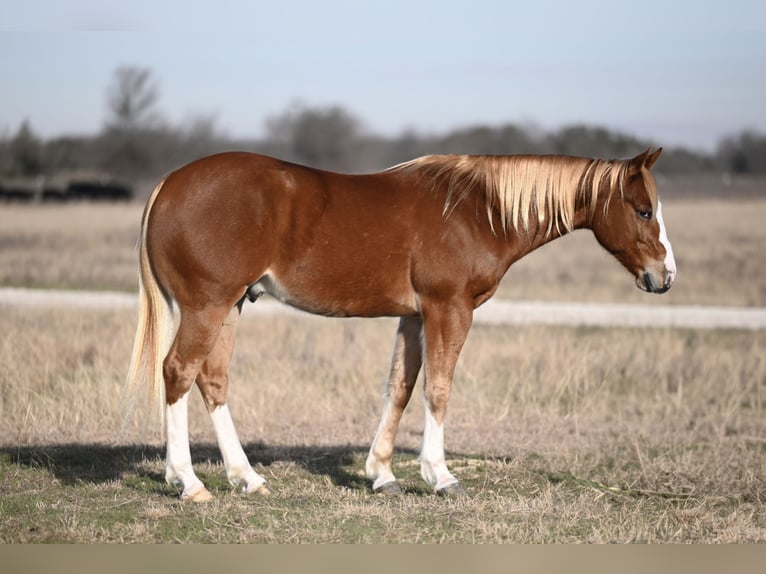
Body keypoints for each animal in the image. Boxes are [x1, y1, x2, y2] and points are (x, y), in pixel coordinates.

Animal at [126, 150, 680, 504]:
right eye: (642, 210)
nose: (665, 276)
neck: (477, 210)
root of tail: (169, 184)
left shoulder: (413, 316)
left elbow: (400, 387)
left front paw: (382, 474)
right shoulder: (448, 309)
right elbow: (438, 388)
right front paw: (440, 475)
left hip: (230, 306)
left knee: (211, 380)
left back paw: (247, 477)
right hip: (208, 306)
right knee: (178, 372)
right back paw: (189, 482)